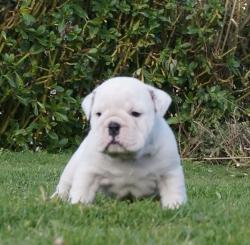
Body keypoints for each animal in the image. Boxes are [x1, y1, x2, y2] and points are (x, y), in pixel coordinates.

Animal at [51, 76, 187, 209]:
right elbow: (82, 189)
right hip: (71, 168)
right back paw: (56, 198)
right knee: (64, 185)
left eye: (135, 113)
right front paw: (79, 205)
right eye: (98, 114)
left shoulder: (169, 172)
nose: (113, 125)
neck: (126, 157)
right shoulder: (89, 172)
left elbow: (173, 191)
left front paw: (175, 207)